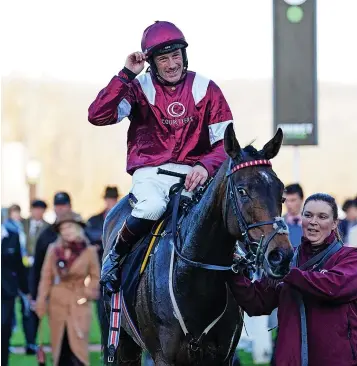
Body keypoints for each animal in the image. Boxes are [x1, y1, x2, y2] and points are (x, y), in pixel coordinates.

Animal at [100, 123, 292, 366]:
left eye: (281, 192)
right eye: (242, 190)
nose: (281, 255)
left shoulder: (223, 356)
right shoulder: (163, 357)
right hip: (121, 338)